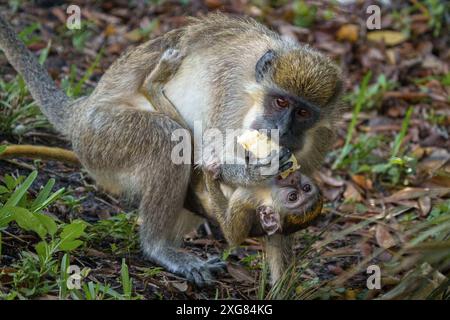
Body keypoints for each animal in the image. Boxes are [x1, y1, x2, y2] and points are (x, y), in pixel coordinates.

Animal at [0, 13, 342, 286]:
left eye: (302, 113)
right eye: (280, 101)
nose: (282, 130)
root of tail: (80, 114)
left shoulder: (320, 140)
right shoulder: (229, 92)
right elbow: (208, 156)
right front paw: (257, 169)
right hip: (100, 137)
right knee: (169, 138)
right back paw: (158, 247)